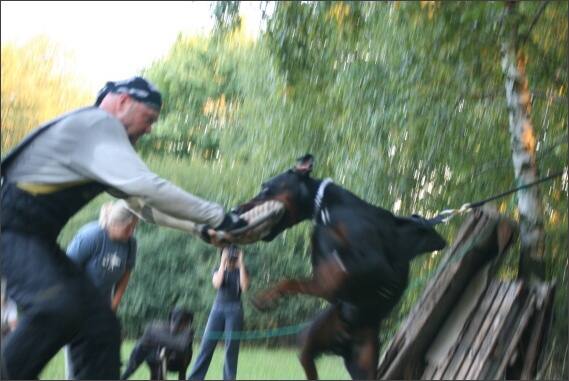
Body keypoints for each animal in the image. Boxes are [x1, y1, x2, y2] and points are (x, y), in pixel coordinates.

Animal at [230, 154, 444, 378]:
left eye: (266, 187)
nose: (234, 210)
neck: (325, 206)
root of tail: (344, 342)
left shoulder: (375, 264)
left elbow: (327, 274)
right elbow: (301, 279)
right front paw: (268, 296)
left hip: (364, 363)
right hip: (310, 344)